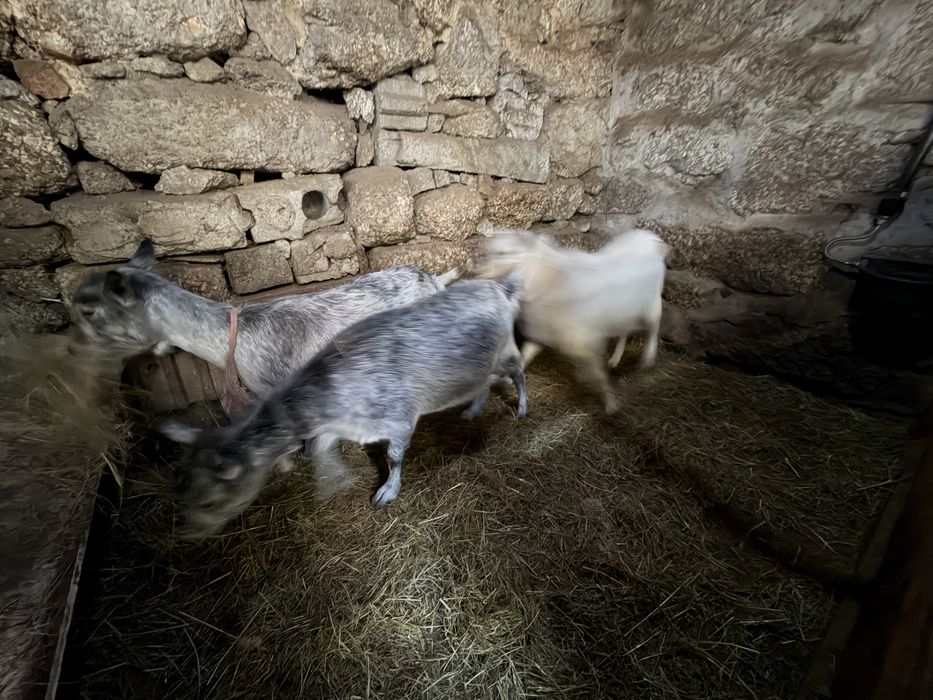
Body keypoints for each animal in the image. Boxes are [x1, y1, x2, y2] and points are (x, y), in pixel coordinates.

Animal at [161, 277, 527, 538]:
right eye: (181, 487)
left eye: (210, 500)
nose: (187, 535)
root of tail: (499, 285)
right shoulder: (334, 426)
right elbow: (321, 451)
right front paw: (332, 481)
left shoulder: (399, 419)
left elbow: (394, 458)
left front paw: (386, 492)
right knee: (487, 381)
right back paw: (471, 410)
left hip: (507, 351)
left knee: (518, 371)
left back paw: (522, 407)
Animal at [476, 227, 668, 414]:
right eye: (489, 252)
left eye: (504, 253)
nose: (481, 274)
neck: (548, 279)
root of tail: (648, 237)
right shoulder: (541, 334)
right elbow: (524, 358)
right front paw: (507, 381)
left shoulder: (585, 343)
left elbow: (598, 376)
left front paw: (611, 405)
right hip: (623, 310)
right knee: (624, 331)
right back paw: (615, 359)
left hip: (653, 305)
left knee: (653, 330)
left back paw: (648, 359)